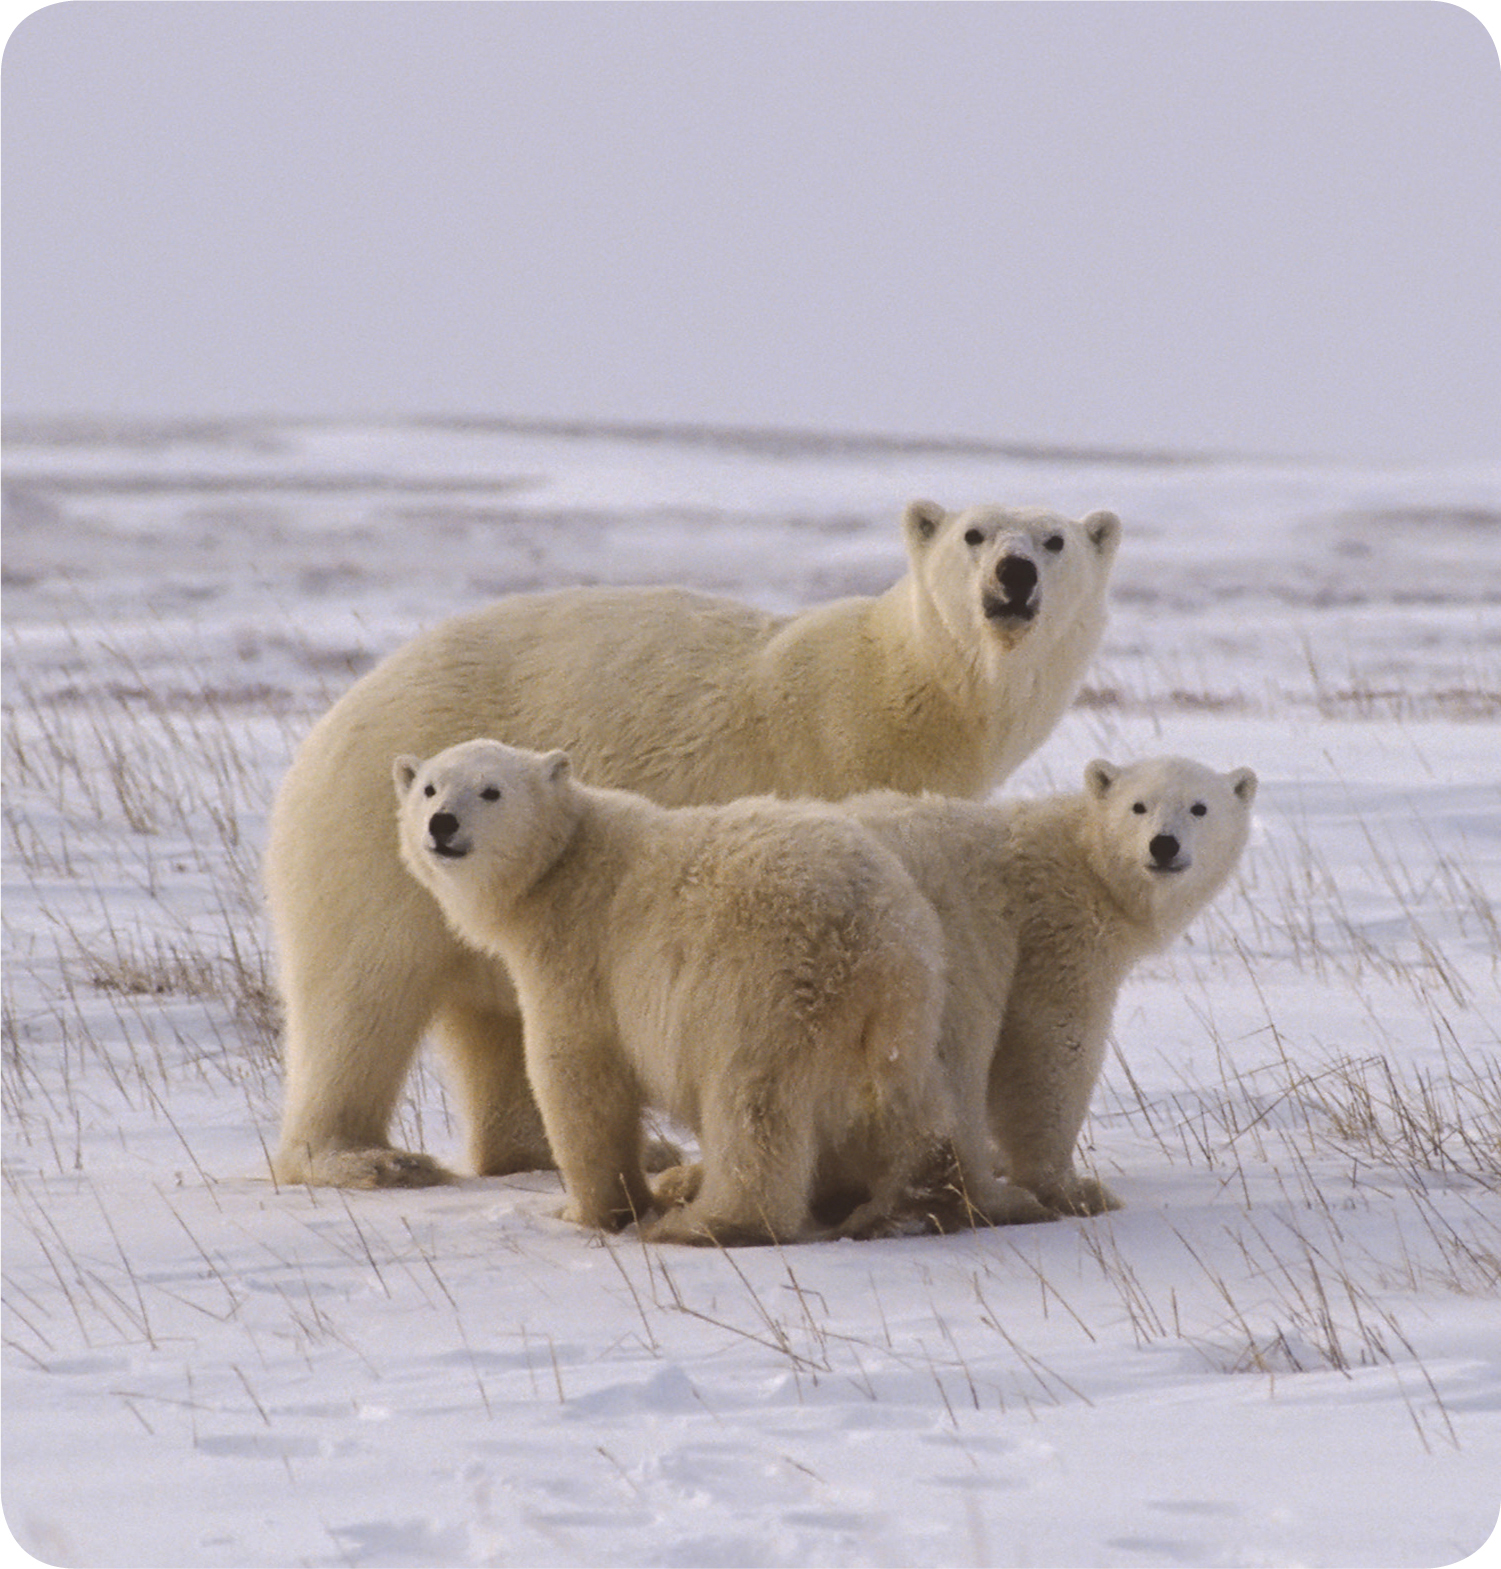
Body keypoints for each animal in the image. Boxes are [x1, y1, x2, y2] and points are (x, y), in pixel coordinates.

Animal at [269, 495, 1116, 1179]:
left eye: (1054, 540)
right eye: (973, 533)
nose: (1012, 573)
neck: (903, 698)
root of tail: (335, 717)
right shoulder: (831, 769)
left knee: (496, 1016)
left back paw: (583, 1148)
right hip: (367, 840)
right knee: (358, 994)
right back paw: (365, 1157)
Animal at [388, 740, 984, 1242]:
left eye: (491, 790)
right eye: (430, 787)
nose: (442, 823)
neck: (562, 866)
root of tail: (873, 946)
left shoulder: (581, 958)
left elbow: (577, 1079)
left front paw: (589, 1211)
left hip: (762, 989)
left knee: (752, 1109)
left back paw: (706, 1223)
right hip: (906, 1016)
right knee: (916, 1109)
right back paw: (927, 1201)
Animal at [840, 753, 1254, 1217]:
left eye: (1200, 807)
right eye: (1138, 806)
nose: (1163, 845)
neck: (1082, 857)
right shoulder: (1054, 932)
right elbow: (1051, 1046)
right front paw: (1074, 1189)